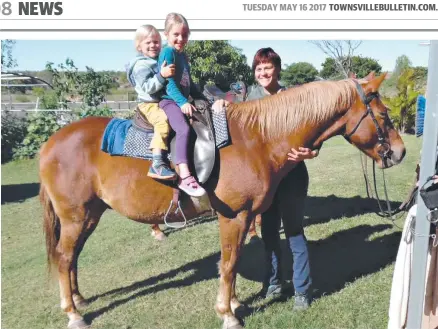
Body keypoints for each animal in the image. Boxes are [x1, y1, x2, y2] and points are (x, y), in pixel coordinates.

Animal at [39, 72, 406, 328]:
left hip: (89, 215)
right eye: (383, 115)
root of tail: (49, 144)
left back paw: (79, 300)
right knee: (64, 257)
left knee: (72, 258)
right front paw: (227, 313)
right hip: (75, 216)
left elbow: (235, 260)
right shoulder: (235, 216)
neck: (258, 139)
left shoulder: (246, 217)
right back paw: (72, 313)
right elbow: (229, 264)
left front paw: (235, 303)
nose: (400, 152)